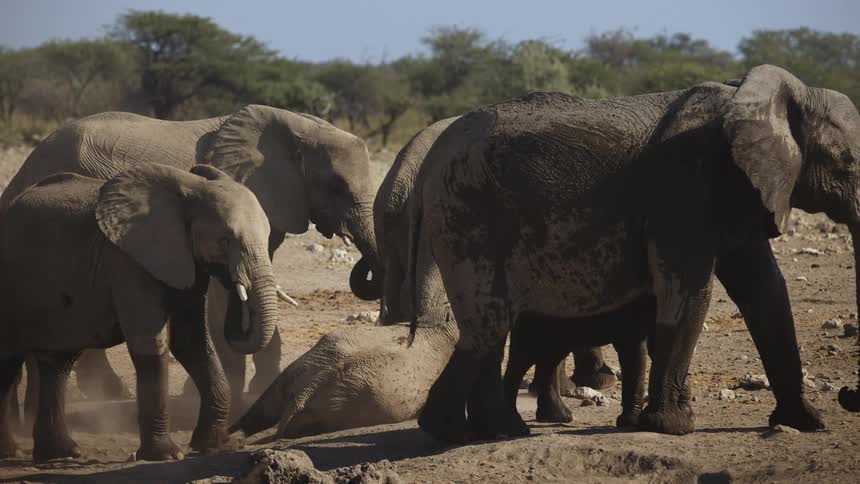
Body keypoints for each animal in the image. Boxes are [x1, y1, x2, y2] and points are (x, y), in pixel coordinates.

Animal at [0, 164, 279, 462]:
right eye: (224, 240)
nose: (234, 285)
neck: (191, 188)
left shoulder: (186, 264)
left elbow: (191, 342)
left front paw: (211, 447)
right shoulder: (126, 263)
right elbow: (151, 343)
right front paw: (167, 455)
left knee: (58, 362)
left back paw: (62, 454)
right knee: (9, 362)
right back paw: (14, 452)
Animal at [407, 64, 856, 443]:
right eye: (848, 163)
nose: (847, 395)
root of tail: (431, 155)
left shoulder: (737, 191)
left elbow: (765, 291)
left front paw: (806, 423)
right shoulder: (685, 184)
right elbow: (689, 293)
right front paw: (672, 428)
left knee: (492, 328)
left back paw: (491, 430)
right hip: (467, 211)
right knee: (489, 323)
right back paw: (457, 431)